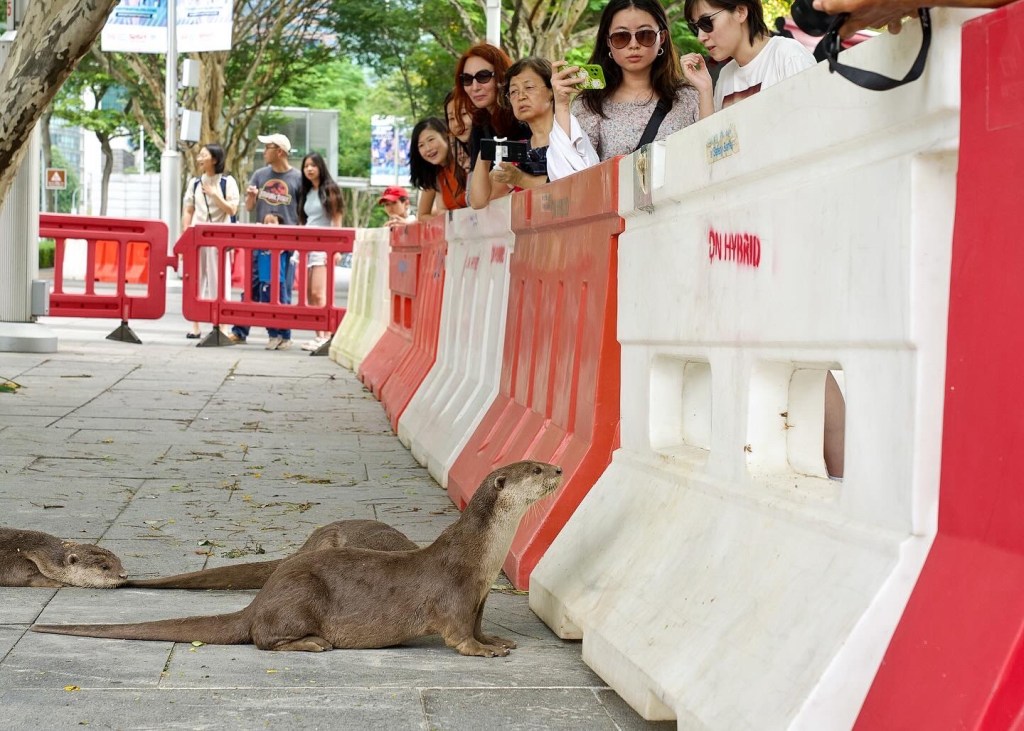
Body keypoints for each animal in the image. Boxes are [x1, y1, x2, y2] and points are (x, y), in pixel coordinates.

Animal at [33, 461, 563, 656]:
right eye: (535, 469)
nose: (558, 469)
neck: (478, 559)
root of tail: (260, 601)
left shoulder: (478, 599)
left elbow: (478, 624)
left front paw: (495, 639)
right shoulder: (454, 596)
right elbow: (458, 636)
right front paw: (484, 651)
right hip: (300, 596)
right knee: (263, 640)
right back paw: (312, 643)